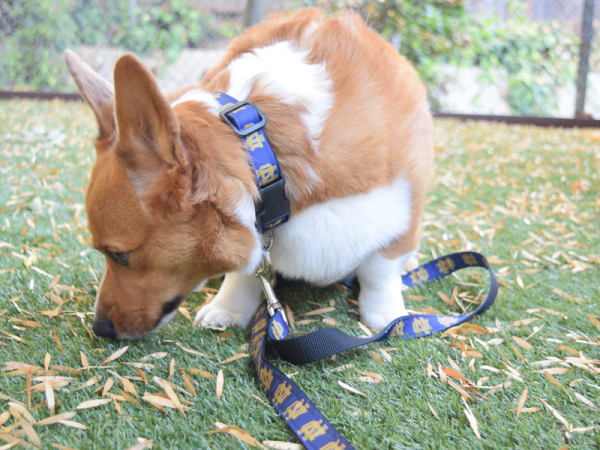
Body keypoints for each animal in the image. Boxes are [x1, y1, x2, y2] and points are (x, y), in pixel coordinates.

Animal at [64, 8, 432, 340]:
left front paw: (390, 317)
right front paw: (229, 308)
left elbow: (381, 270)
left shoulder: (404, 209)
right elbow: (245, 273)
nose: (100, 329)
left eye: (118, 255)